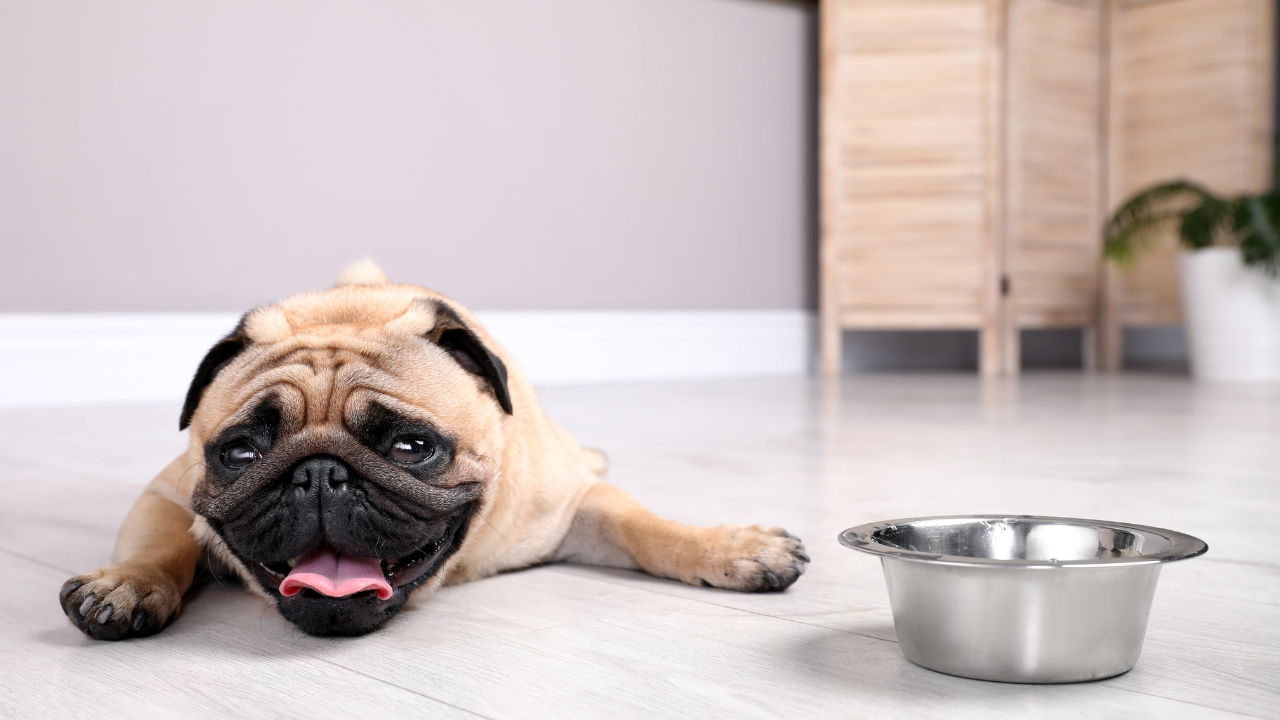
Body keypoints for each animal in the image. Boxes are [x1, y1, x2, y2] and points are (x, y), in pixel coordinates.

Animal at [57, 262, 808, 632]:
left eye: (413, 446)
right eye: (240, 454)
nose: (319, 474)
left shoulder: (570, 509)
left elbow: (648, 527)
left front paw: (733, 548)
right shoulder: (167, 492)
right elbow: (162, 544)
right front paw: (127, 584)